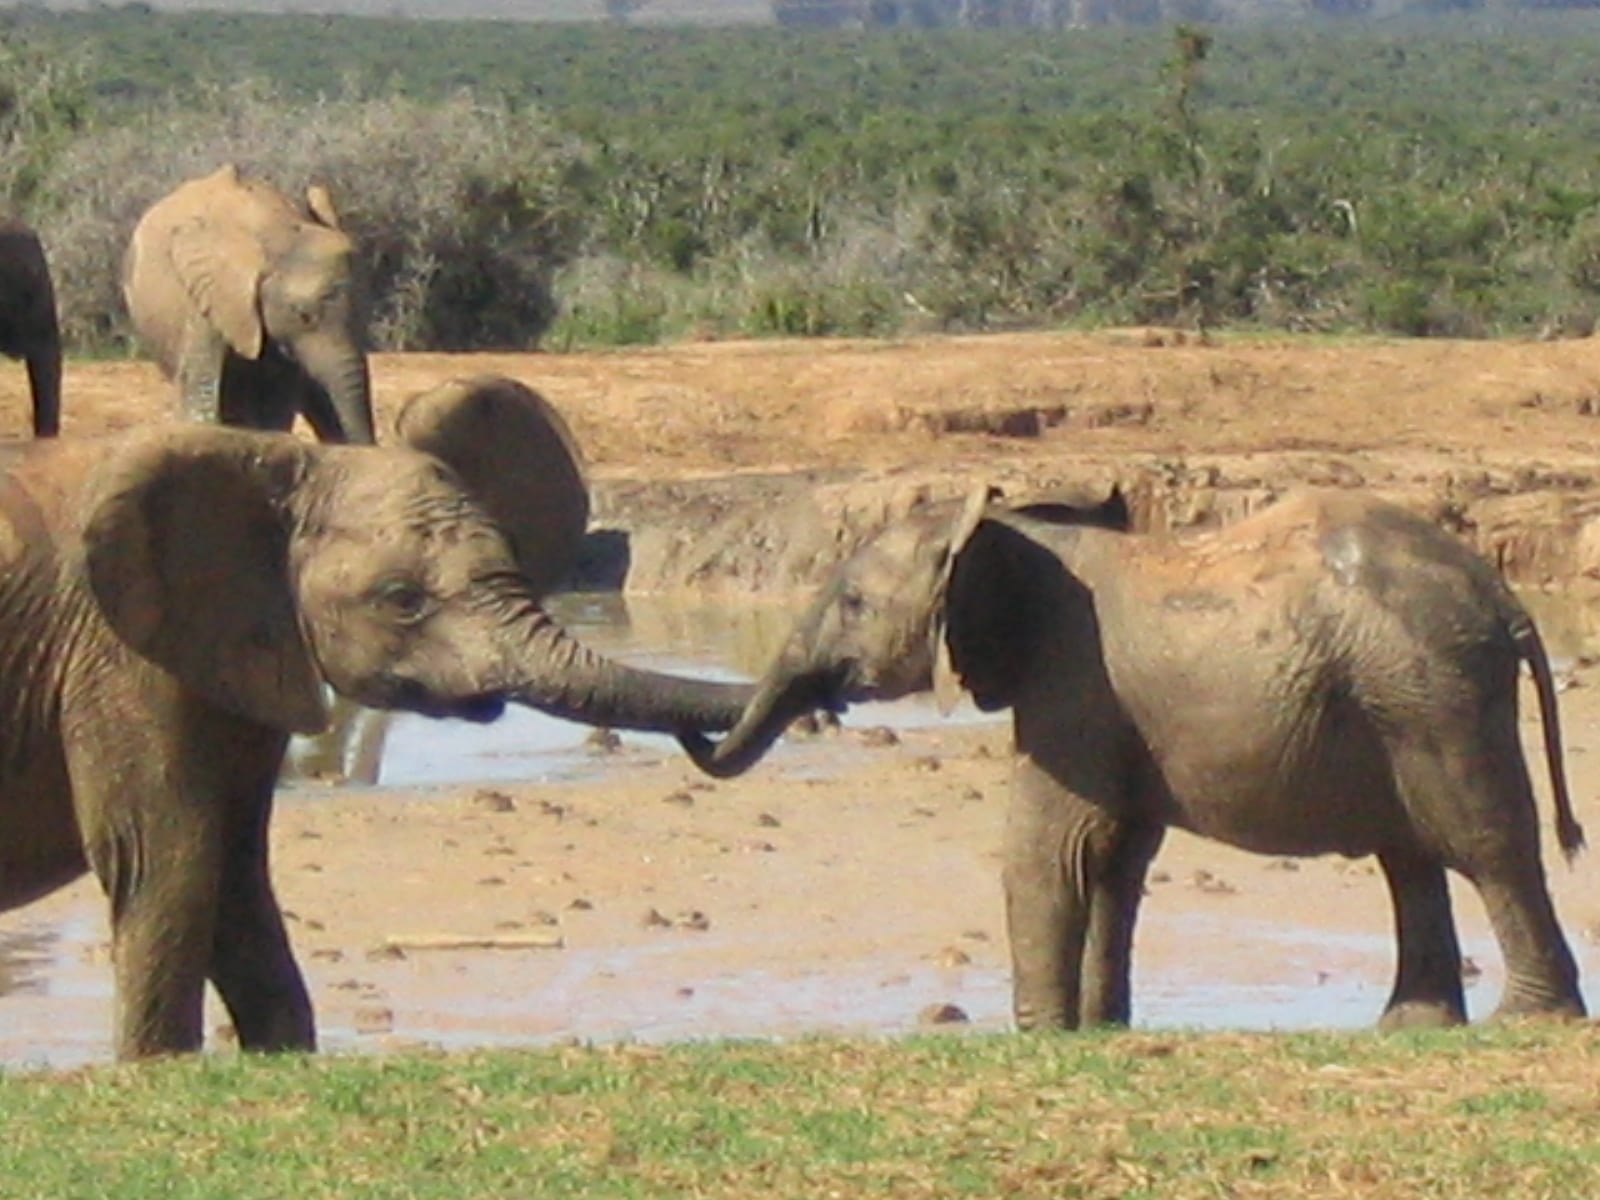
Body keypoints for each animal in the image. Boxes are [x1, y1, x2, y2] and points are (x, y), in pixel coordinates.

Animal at [0, 396, 755, 1062]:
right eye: (400, 600)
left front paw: (281, 1056)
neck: (280, 460)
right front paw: (158, 1066)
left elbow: (236, 862)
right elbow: (164, 850)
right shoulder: (117, 653)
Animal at [678, 489, 1587, 1036]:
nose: (825, 705)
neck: (1014, 531)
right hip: (1402, 696)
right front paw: (1099, 1029)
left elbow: (1051, 849)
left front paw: (1041, 1037)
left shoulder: (1073, 684)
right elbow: (1114, 859)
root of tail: (1504, 598)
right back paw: (1413, 1028)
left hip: (1431, 692)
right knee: (1410, 856)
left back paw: (1528, 1022)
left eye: (855, 602)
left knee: (1482, 845)